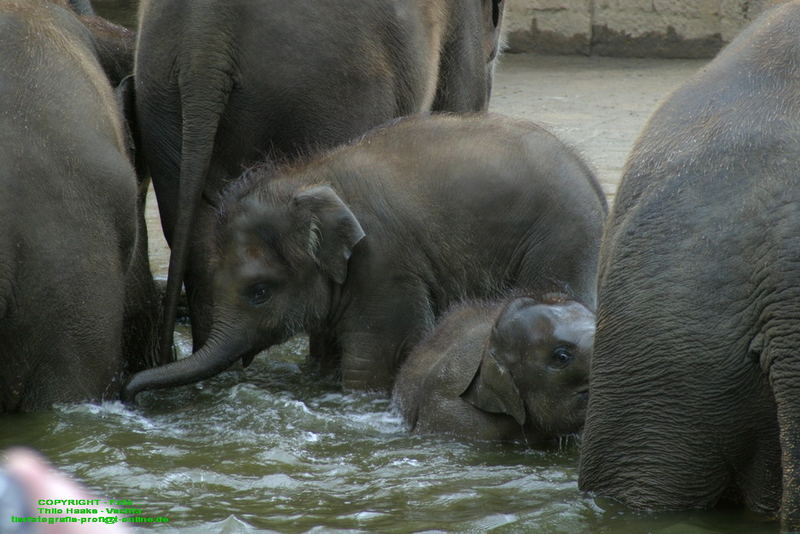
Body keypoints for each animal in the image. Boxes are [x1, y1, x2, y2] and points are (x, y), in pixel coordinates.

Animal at [122, 115, 604, 404]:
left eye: (258, 292)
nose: (129, 394)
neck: (307, 176)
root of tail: (590, 176)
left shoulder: (384, 265)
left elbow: (373, 359)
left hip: (561, 241)